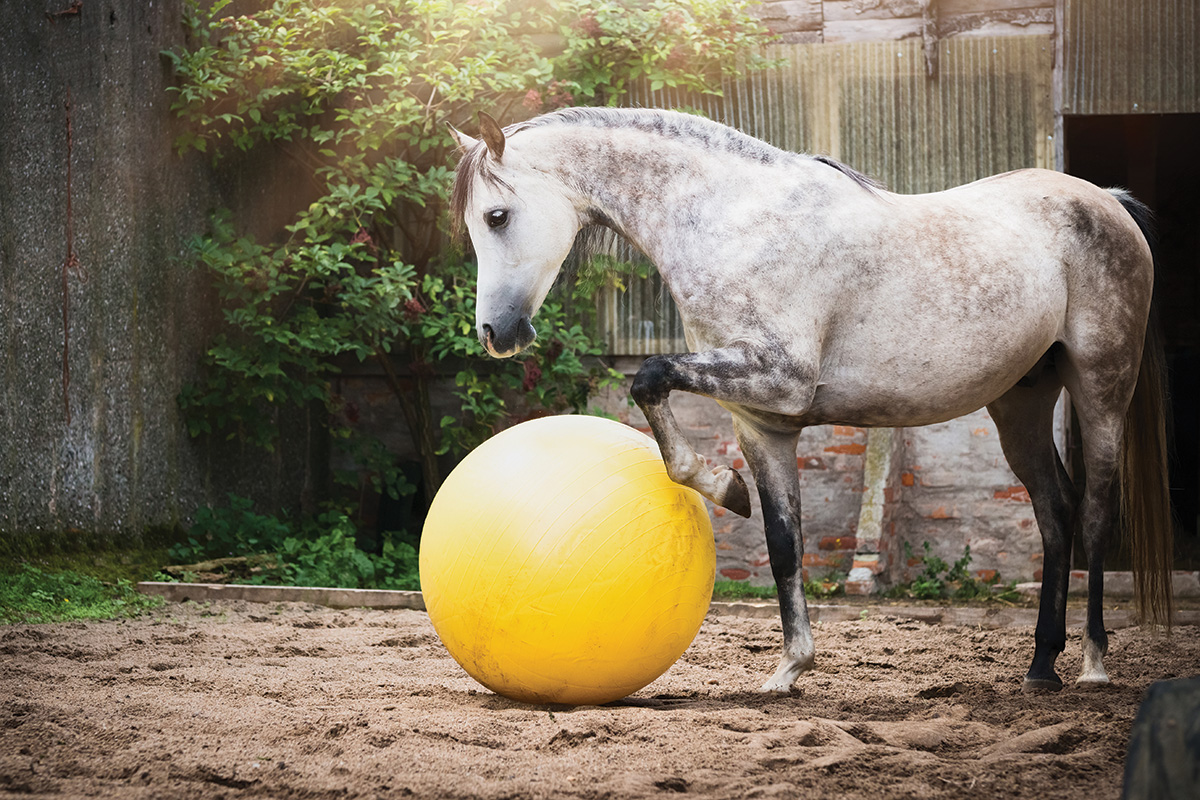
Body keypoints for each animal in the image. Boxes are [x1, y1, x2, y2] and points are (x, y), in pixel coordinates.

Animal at [451, 106, 1171, 695]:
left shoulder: (777, 378)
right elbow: (781, 539)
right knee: (1055, 511)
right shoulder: (761, 422)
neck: (731, 221)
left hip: (1100, 388)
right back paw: (1041, 666)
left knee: (1095, 512)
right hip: (1019, 403)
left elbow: (649, 378)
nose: (496, 334)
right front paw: (790, 667)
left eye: (496, 216)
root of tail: (1106, 202)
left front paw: (719, 485)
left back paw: (1093, 664)